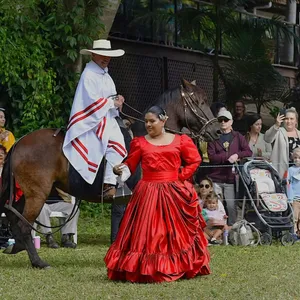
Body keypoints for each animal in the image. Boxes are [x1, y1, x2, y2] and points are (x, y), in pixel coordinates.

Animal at [0, 78, 219, 268]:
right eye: (199, 102)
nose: (216, 130)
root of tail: (20, 142)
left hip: (24, 194)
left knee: (12, 216)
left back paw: (17, 247)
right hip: (37, 194)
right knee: (24, 225)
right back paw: (38, 261)